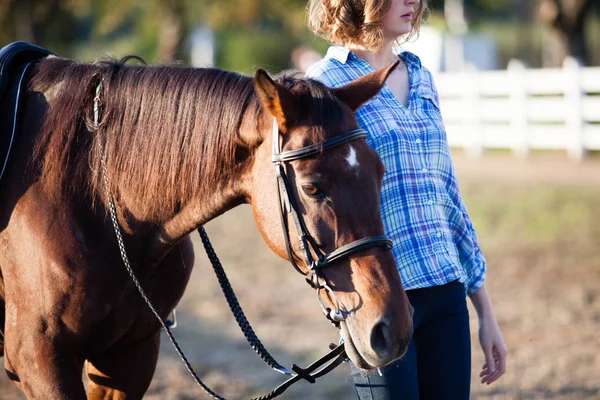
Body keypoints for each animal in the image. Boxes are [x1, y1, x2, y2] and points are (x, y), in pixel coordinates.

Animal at [0, 48, 412, 398]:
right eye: (312, 187)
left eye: (380, 172)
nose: (392, 329)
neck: (94, 198)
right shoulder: (40, 361)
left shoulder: (131, 355)